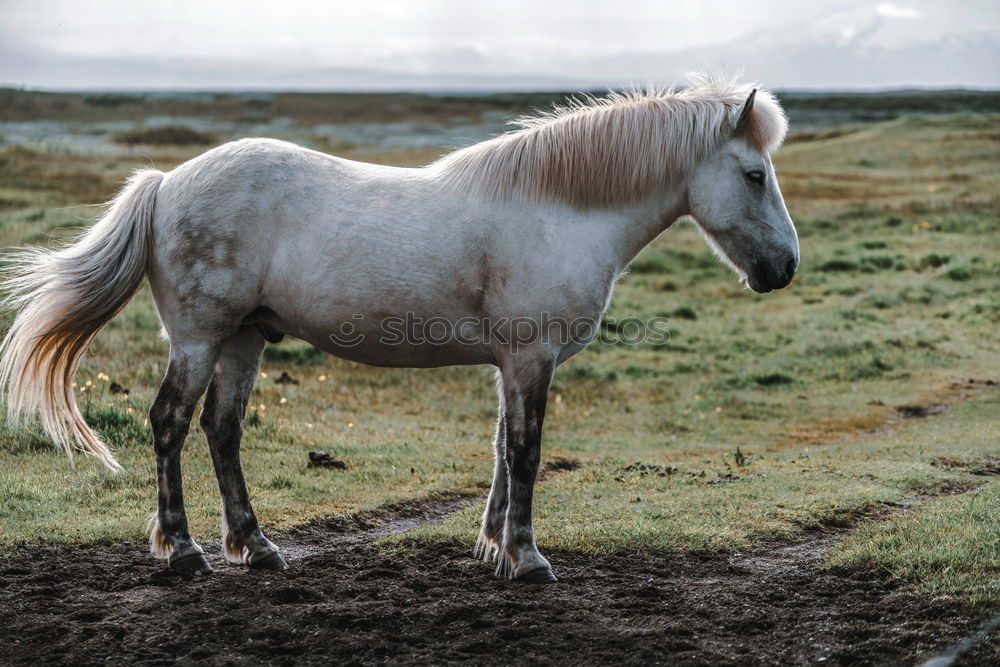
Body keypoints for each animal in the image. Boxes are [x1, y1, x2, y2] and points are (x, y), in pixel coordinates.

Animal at [0, 75, 796, 580]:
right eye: (754, 175)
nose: (784, 267)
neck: (558, 208)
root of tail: (166, 183)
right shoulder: (532, 358)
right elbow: (527, 452)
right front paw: (528, 559)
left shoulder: (512, 362)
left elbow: (502, 450)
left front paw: (492, 548)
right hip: (199, 339)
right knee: (169, 422)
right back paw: (185, 552)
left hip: (244, 340)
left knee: (221, 432)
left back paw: (256, 548)